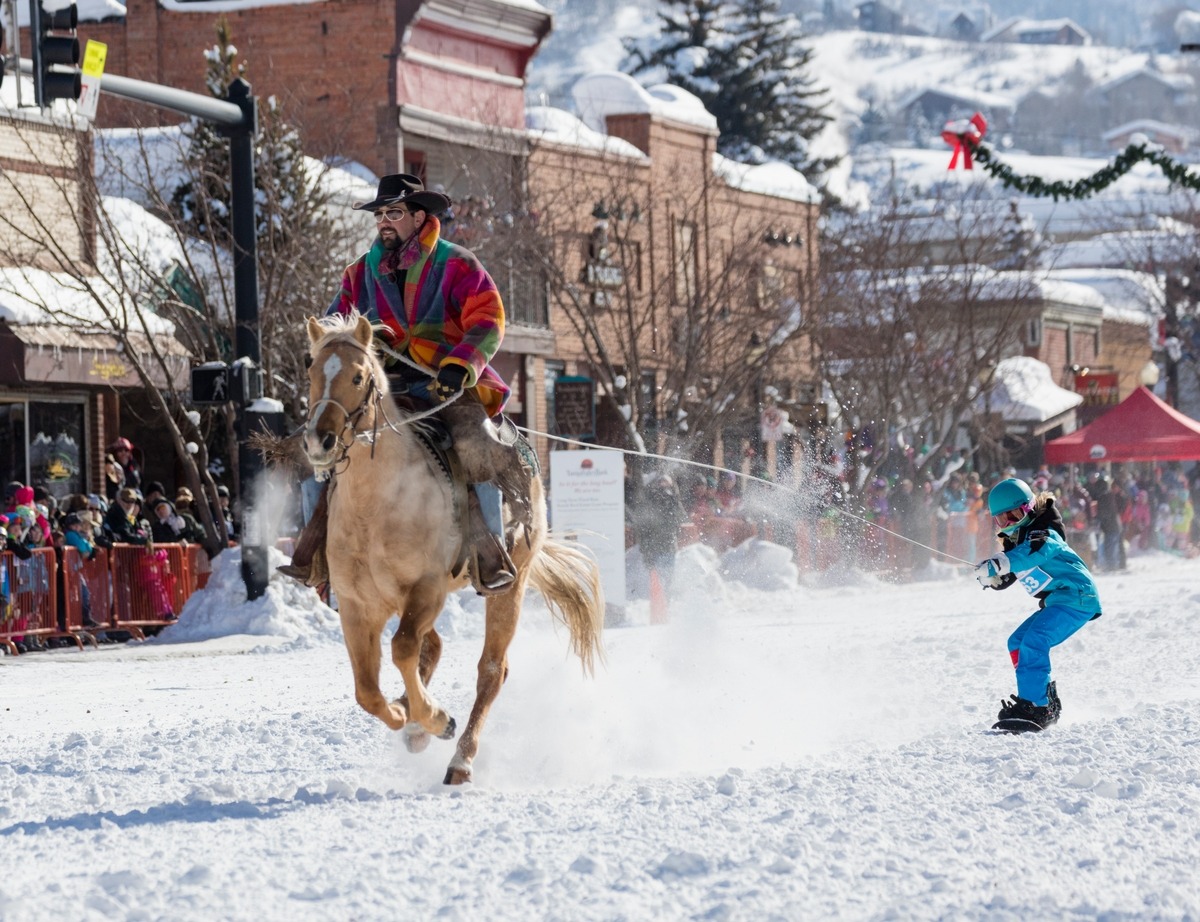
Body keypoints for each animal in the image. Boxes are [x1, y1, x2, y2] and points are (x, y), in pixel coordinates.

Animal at [297, 312, 600, 782]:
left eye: (358, 375)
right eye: (310, 372)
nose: (319, 441)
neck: (377, 506)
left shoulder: (427, 589)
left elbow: (403, 649)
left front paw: (437, 719)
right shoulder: (355, 604)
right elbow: (367, 690)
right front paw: (407, 717)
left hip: (509, 587)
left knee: (490, 670)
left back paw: (460, 757)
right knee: (432, 648)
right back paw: (414, 724)